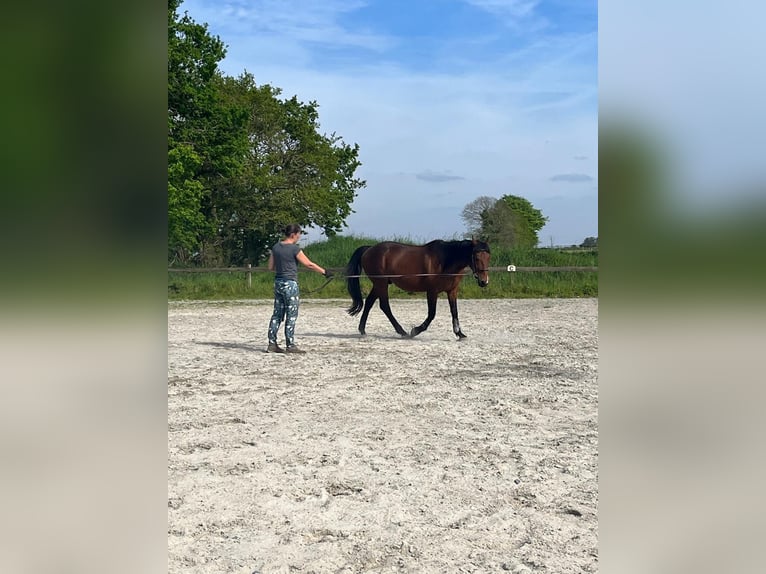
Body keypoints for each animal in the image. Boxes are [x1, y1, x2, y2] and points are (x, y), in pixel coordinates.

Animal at [348, 237, 492, 338]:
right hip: (381, 283)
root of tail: (369, 249)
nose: (484, 281)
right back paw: (403, 332)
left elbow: (454, 311)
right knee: (384, 306)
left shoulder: (452, 291)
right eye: (476, 257)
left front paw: (459, 333)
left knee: (369, 302)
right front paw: (416, 330)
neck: (445, 261)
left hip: (379, 284)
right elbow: (432, 314)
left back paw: (362, 330)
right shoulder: (432, 291)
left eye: (488, 257)